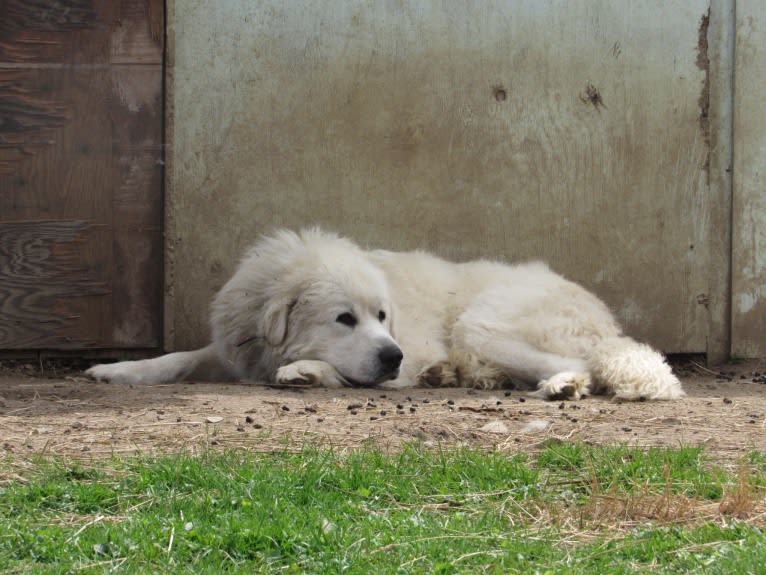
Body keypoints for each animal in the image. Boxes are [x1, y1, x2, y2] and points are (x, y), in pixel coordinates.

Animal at [87, 228, 688, 400]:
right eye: (344, 319)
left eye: (382, 315)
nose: (394, 356)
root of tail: (606, 320)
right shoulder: (231, 348)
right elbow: (178, 357)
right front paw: (118, 370)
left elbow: (335, 372)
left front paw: (305, 371)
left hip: (482, 322)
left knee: (580, 364)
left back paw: (563, 384)